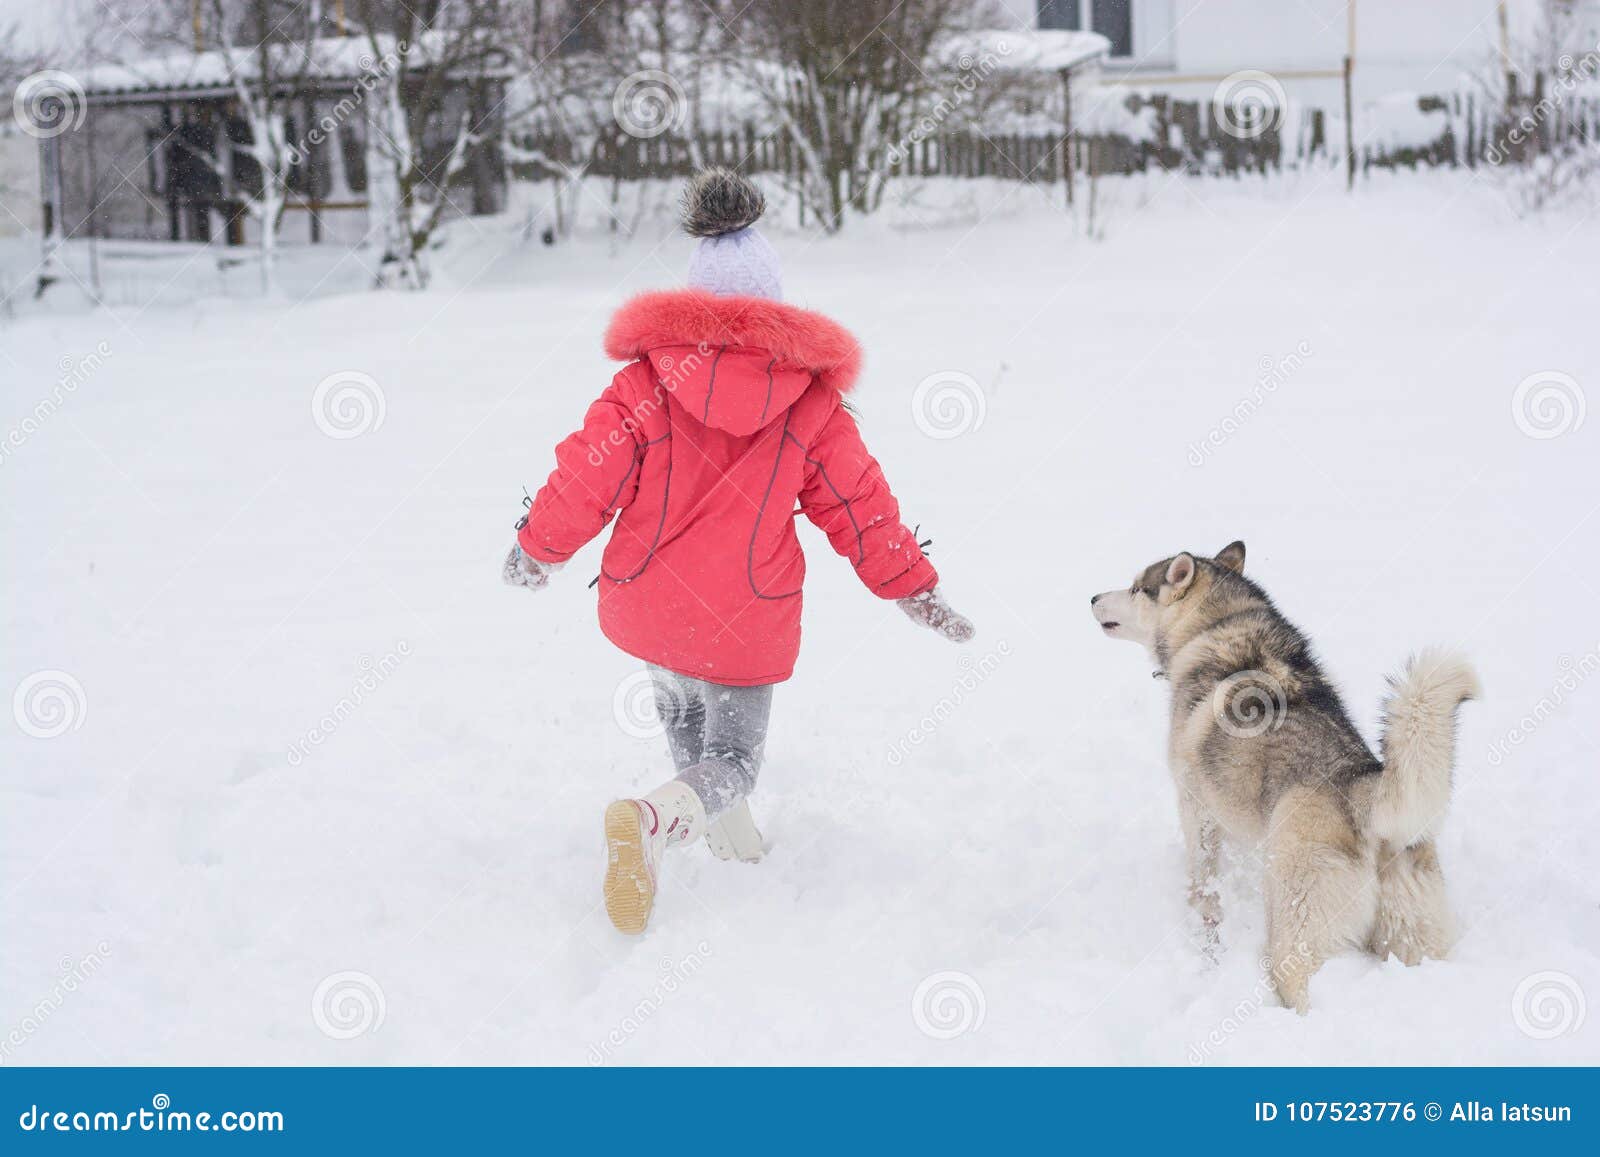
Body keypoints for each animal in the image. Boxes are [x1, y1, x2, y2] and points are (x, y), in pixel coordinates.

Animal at [1088, 544, 1472, 1011]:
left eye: (1135, 588)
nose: (1092, 598)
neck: (1215, 626)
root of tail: (1361, 780)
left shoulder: (1196, 805)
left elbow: (1203, 880)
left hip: (1295, 928)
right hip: (1412, 936)